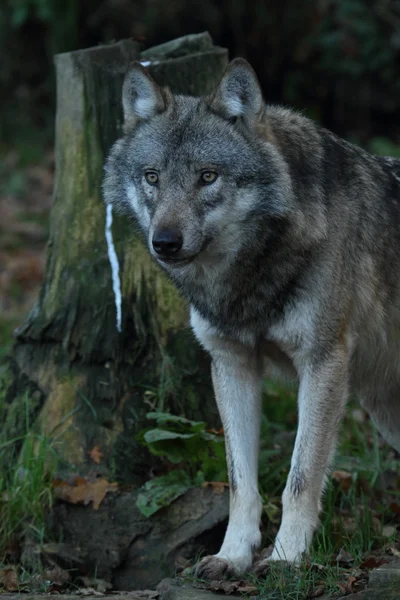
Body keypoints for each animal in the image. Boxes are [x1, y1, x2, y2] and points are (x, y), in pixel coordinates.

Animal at [102, 59, 400, 576]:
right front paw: (232, 555)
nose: (165, 242)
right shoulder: (231, 364)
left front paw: (285, 558)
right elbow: (241, 482)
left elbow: (300, 477)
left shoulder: (322, 364)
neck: (248, 278)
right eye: (152, 176)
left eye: (207, 176)